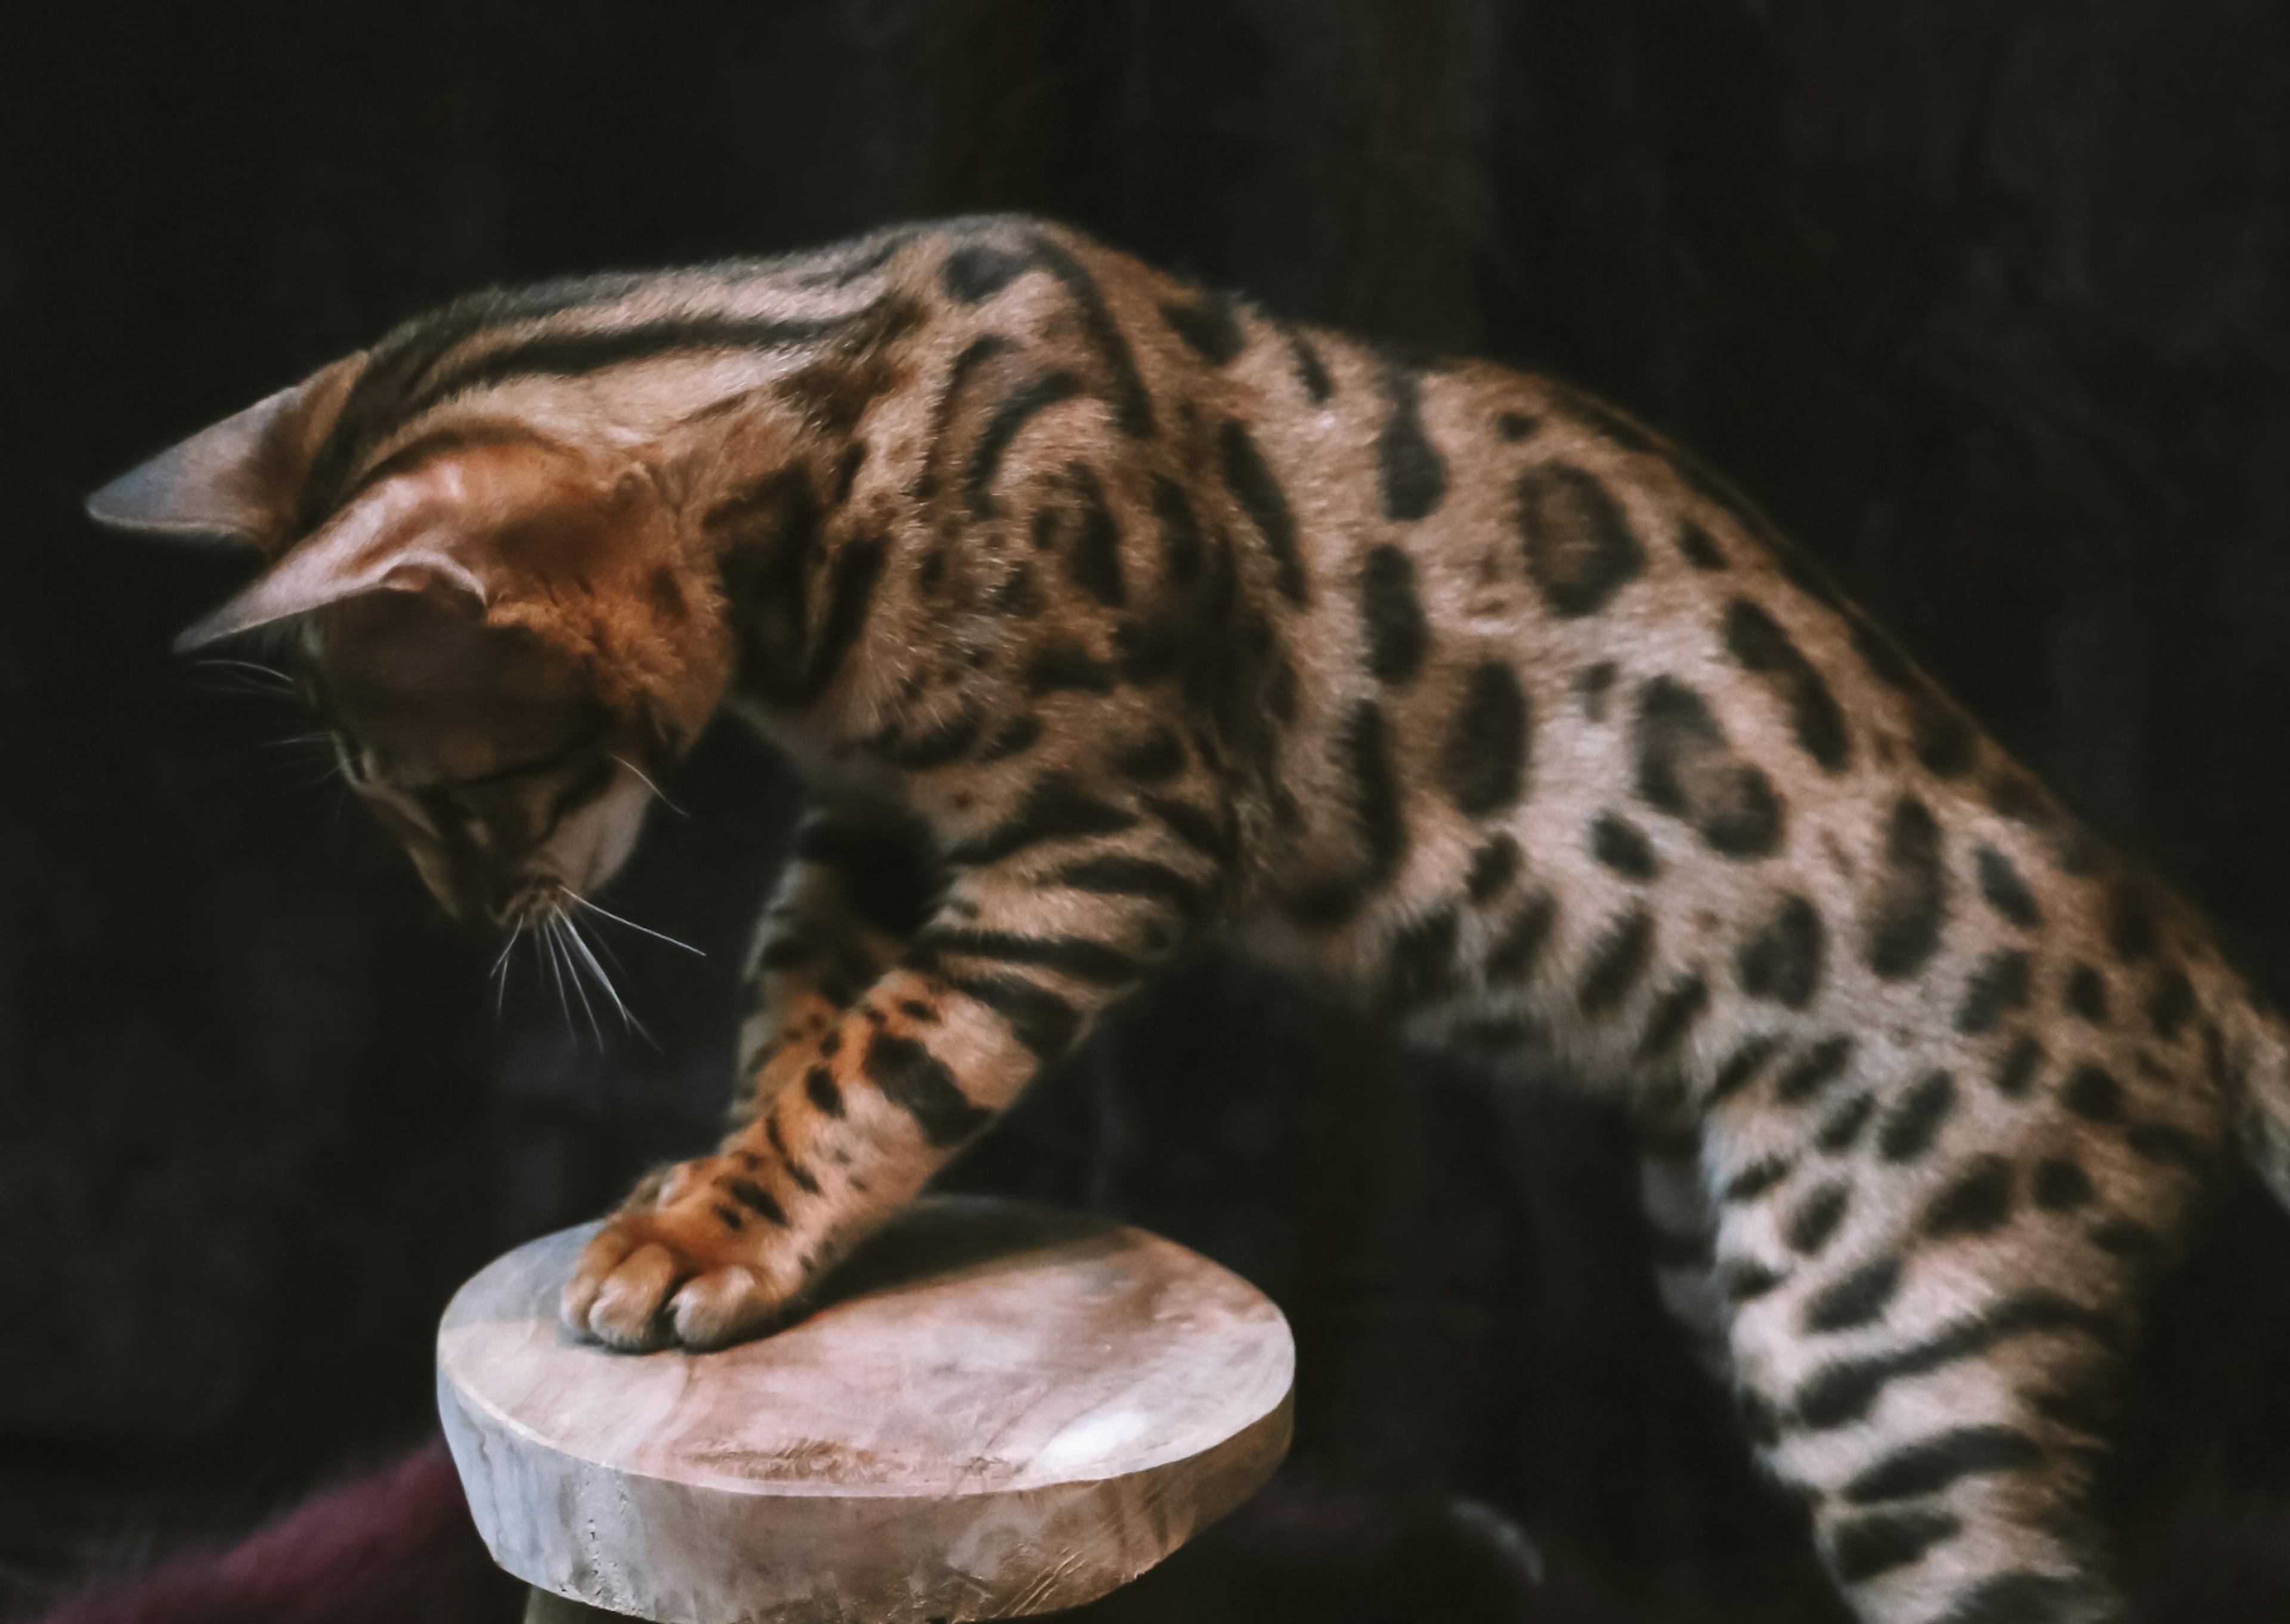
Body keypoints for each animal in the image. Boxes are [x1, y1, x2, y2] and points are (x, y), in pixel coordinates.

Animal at [89, 218, 2290, 1622]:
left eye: (448, 794)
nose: (471, 910)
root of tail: (2192, 972)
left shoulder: (1113, 827)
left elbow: (881, 1059)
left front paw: (710, 1232)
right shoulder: (881, 823)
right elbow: (804, 1016)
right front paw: (710, 1195)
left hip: (1891, 1341)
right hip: (1744, 1260)